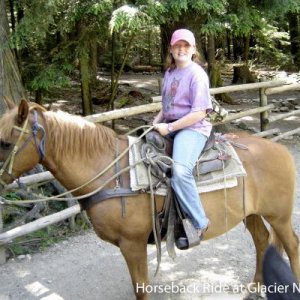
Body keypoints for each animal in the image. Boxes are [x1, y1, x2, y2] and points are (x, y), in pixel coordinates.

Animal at [0, 99, 298, 298]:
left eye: (5, 143)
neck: (112, 173)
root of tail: (279, 149)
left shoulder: (132, 244)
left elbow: (141, 288)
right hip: (252, 213)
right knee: (262, 241)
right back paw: (256, 287)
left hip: (280, 216)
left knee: (291, 245)